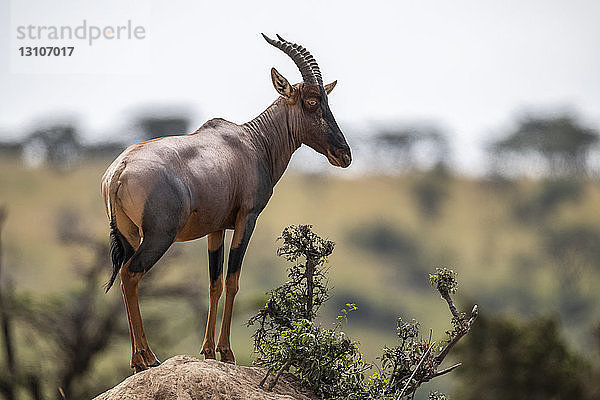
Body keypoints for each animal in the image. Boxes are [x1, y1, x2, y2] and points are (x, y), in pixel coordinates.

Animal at [102, 32, 352, 370]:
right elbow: (233, 280)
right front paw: (227, 353)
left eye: (326, 99)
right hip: (159, 236)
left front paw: (208, 351)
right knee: (131, 274)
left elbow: (214, 283)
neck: (251, 141)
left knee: (124, 276)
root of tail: (120, 170)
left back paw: (137, 360)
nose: (344, 154)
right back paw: (148, 357)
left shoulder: (216, 228)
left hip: (128, 233)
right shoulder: (247, 218)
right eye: (312, 101)